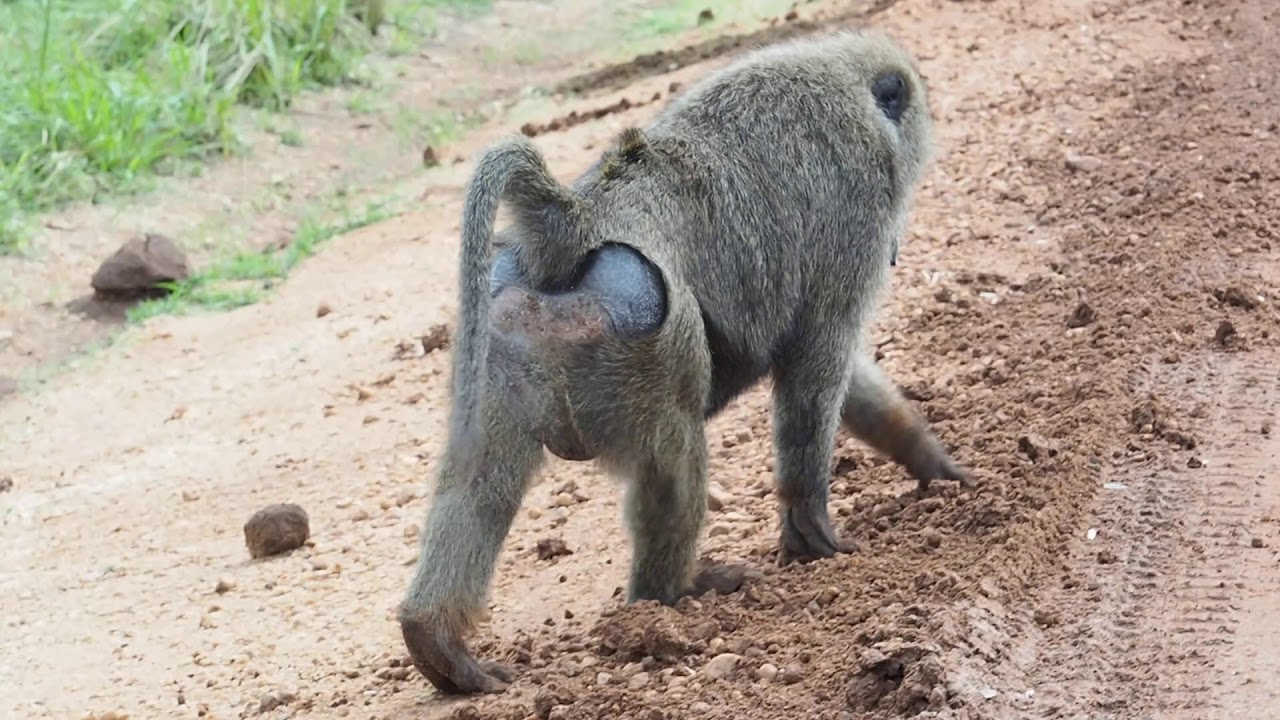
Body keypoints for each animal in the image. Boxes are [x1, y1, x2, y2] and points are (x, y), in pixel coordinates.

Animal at [399, 28, 968, 695]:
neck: (840, 75)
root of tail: (570, 223)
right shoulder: (858, 215)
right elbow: (816, 365)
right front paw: (811, 533)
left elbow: (839, 376)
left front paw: (935, 466)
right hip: (647, 345)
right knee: (673, 454)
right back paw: (671, 596)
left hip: (502, 335)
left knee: (479, 478)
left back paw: (437, 644)